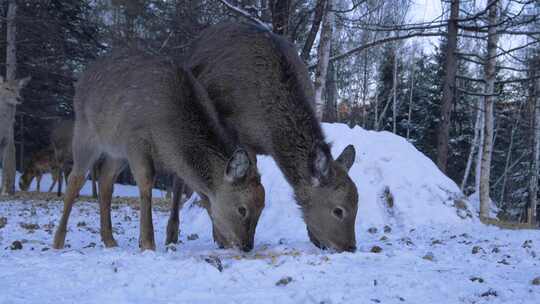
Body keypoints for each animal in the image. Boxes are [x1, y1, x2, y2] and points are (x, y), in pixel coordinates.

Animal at [53, 52, 266, 252]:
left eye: (262, 208)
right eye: (242, 209)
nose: (247, 245)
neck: (169, 141)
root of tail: (81, 79)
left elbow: (202, 195)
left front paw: (220, 240)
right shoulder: (136, 140)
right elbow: (147, 182)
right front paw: (147, 243)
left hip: (116, 152)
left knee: (106, 179)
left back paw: (109, 240)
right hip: (86, 133)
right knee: (75, 179)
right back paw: (58, 241)